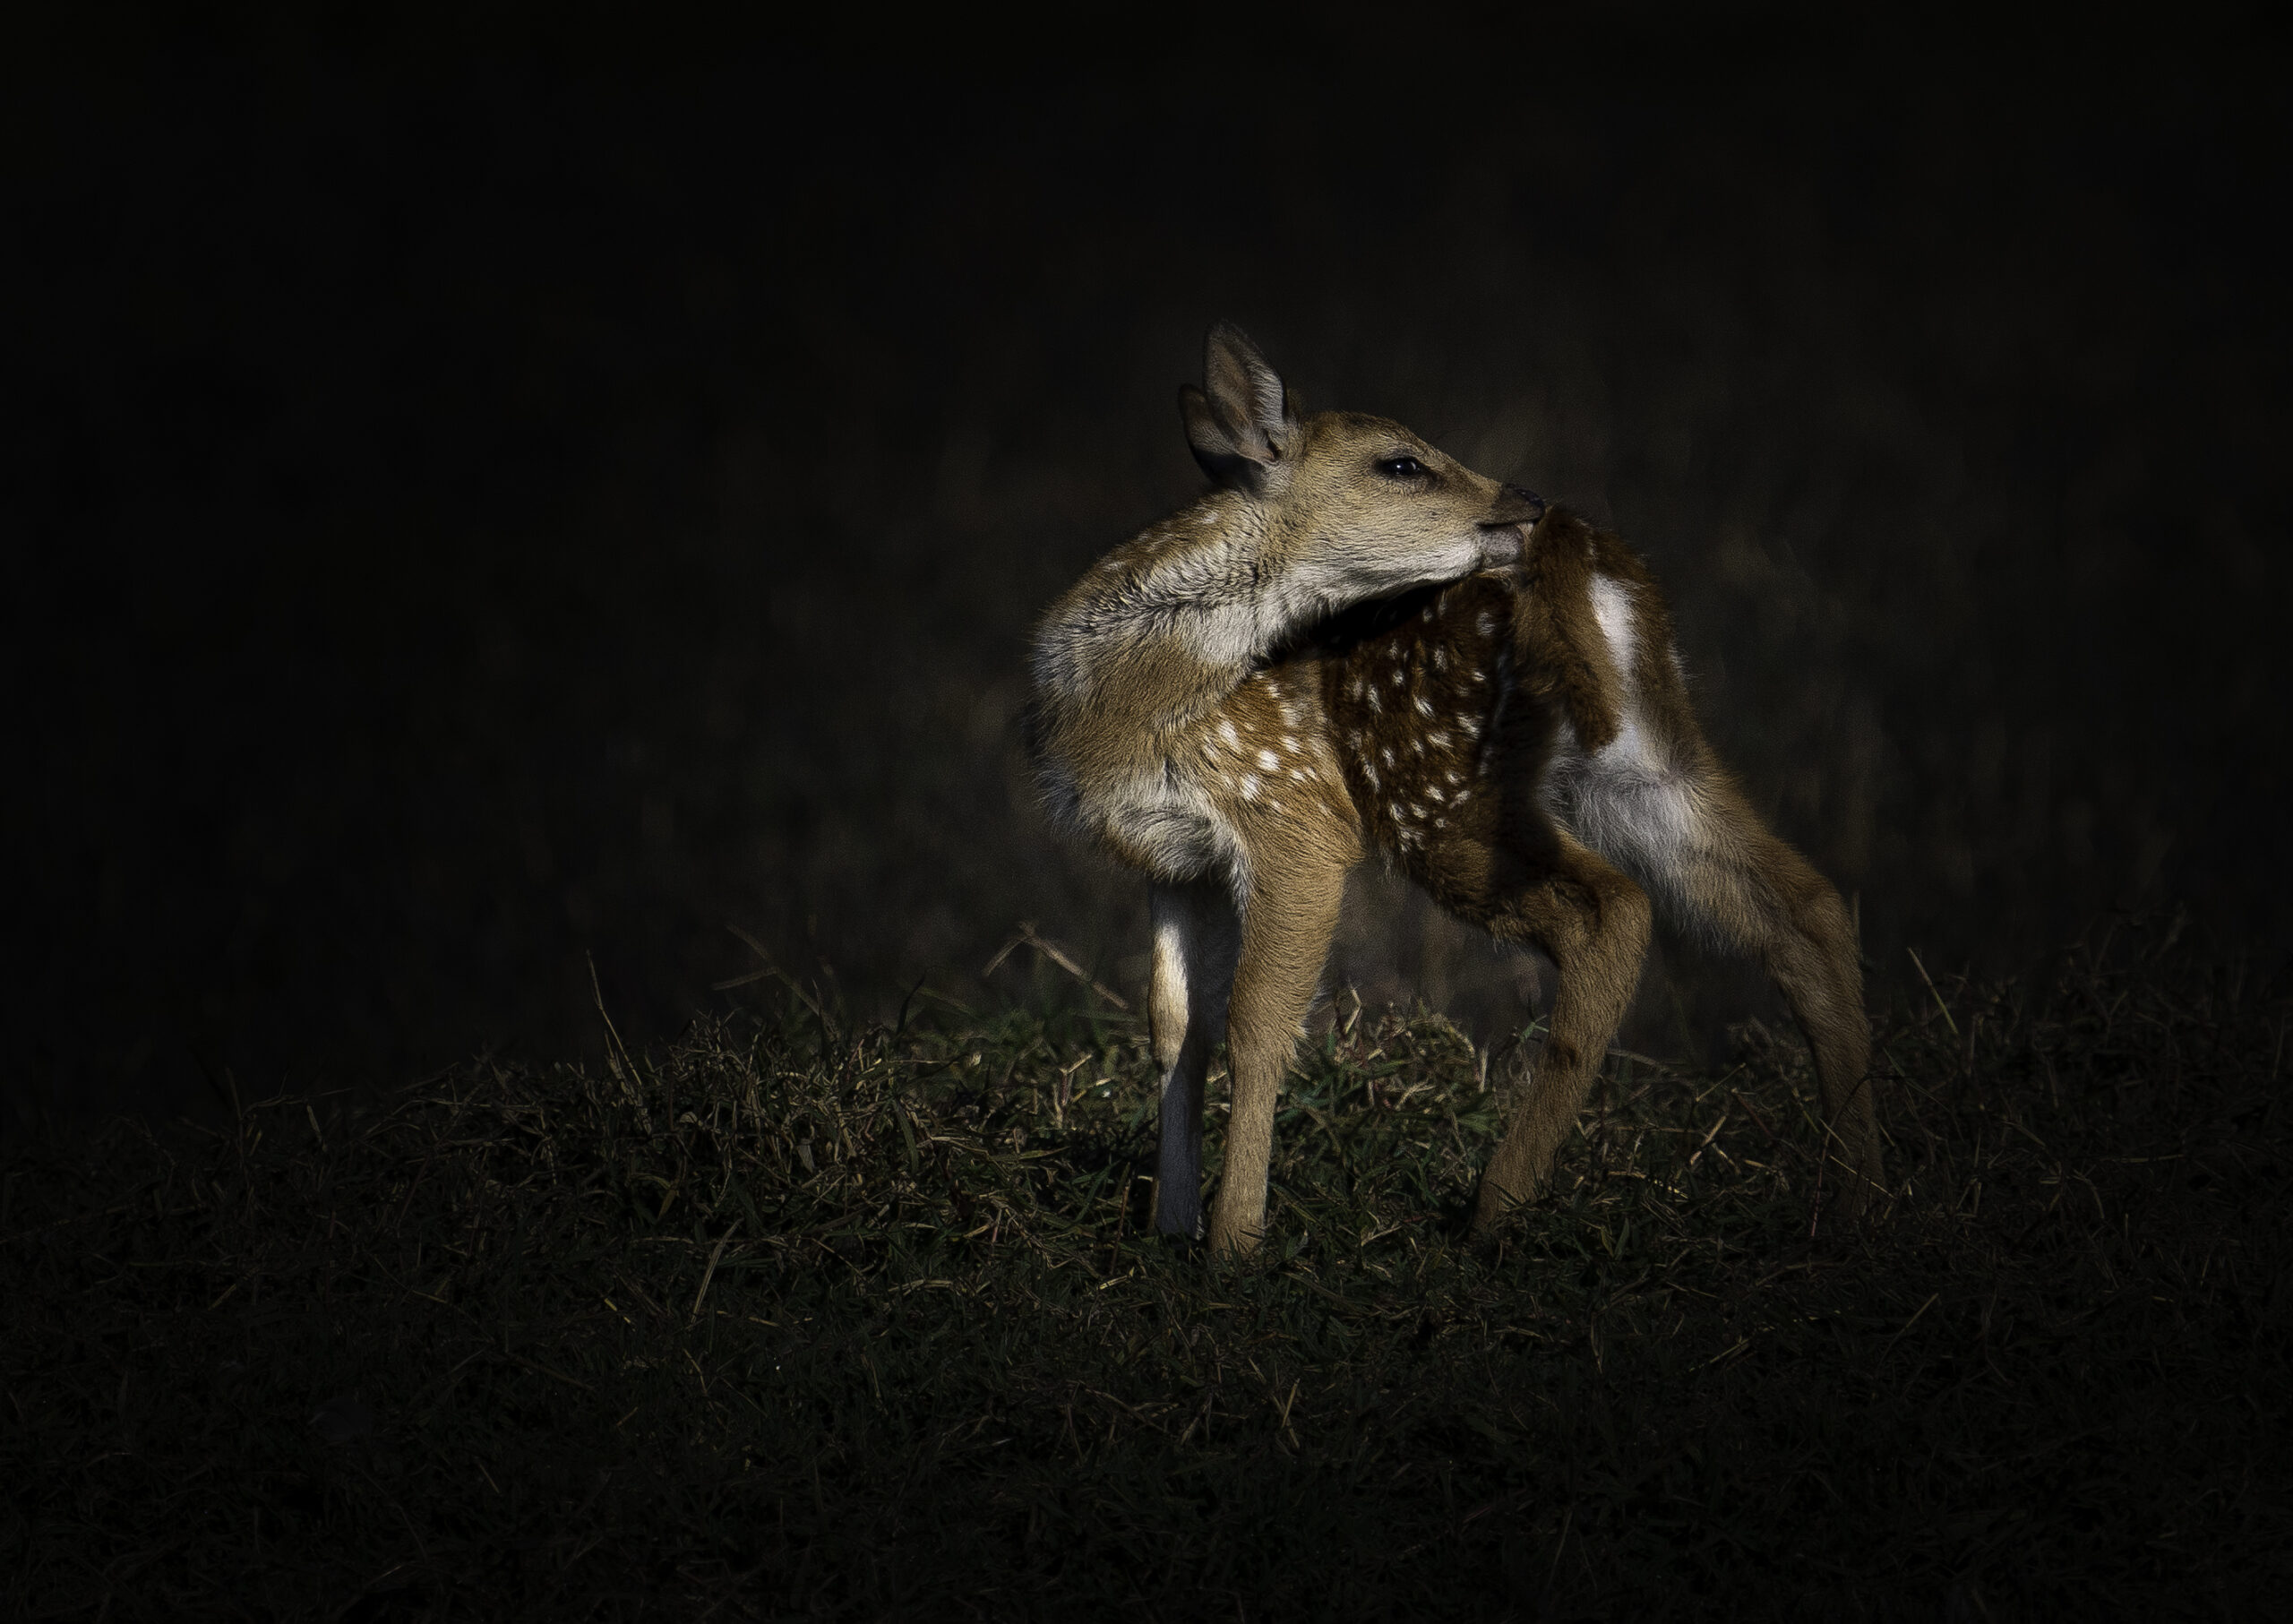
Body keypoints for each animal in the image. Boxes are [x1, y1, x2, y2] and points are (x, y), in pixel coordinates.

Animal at [1027, 323, 1881, 1258]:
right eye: (1401, 463)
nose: (1526, 498)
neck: (1127, 700)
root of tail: (1587, 555)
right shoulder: (1172, 858)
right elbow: (1176, 1028)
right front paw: (1169, 1233)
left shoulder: (1294, 816)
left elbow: (1256, 1023)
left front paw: (1232, 1246)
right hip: (1643, 762)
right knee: (1805, 907)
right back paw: (1857, 1205)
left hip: (1438, 792)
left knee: (1614, 912)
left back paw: (1494, 1206)